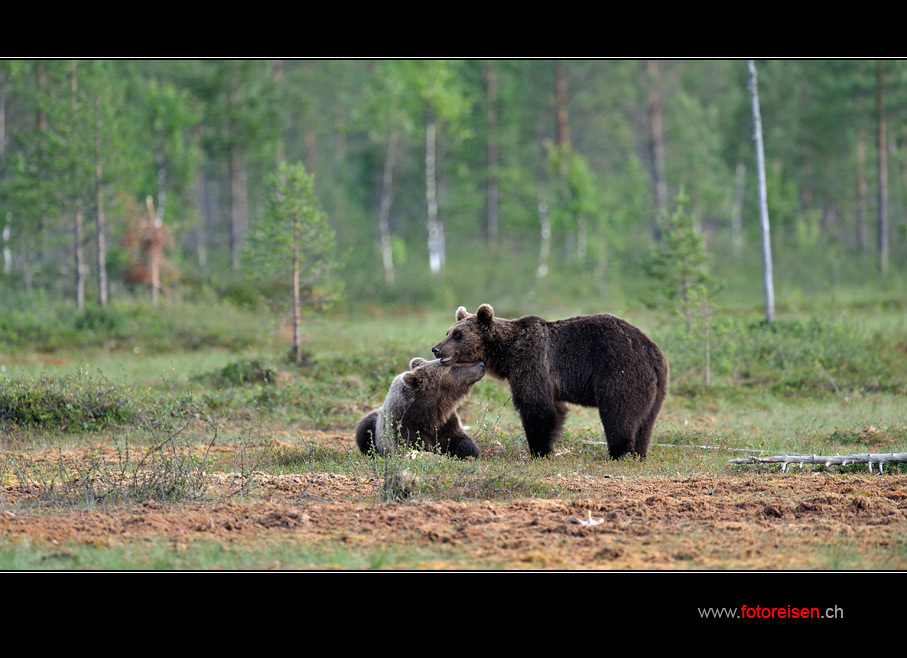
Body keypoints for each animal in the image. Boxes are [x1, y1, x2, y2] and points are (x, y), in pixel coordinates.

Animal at [432, 304, 668, 458]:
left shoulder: (532, 362)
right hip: (656, 387)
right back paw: (639, 451)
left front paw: (539, 450)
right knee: (646, 420)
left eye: (458, 334)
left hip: (620, 371)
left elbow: (536, 407)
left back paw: (620, 452)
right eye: (448, 331)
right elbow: (555, 409)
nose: (436, 348)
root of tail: (651, 351)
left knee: (618, 412)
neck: (507, 352)